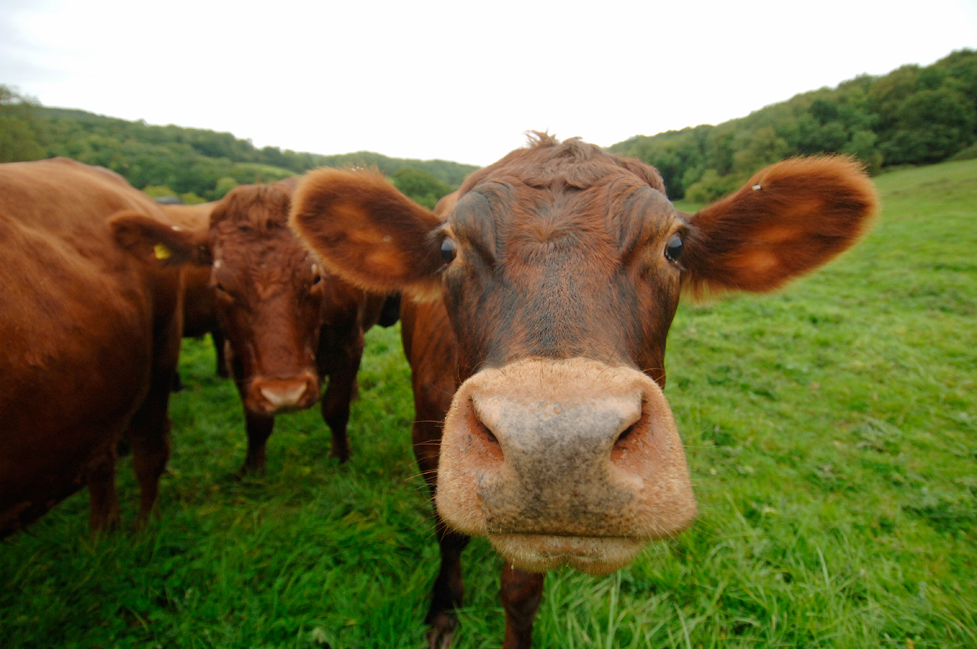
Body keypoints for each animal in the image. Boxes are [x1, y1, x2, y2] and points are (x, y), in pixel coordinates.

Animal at [111, 180, 392, 474]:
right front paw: (252, 469)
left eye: (316, 277)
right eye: (221, 285)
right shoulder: (236, 356)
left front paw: (341, 457)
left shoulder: (351, 344)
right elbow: (256, 421)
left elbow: (335, 408)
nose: (285, 393)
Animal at [290, 134, 876, 644]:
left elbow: (521, 590)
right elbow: (448, 533)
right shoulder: (427, 434)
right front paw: (444, 608)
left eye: (675, 245)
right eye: (449, 249)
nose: (557, 450)